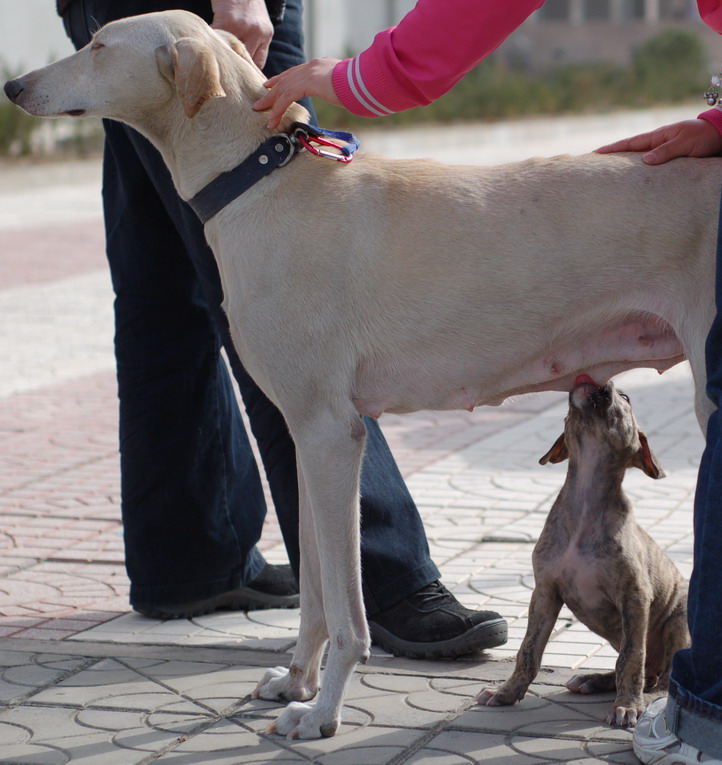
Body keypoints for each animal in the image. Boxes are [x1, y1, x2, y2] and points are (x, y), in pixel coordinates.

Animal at [7, 10, 720, 740]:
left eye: (98, 47)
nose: (14, 85)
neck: (261, 182)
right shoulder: (302, 435)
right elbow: (315, 592)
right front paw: (296, 680)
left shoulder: (331, 434)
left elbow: (347, 609)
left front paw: (322, 711)